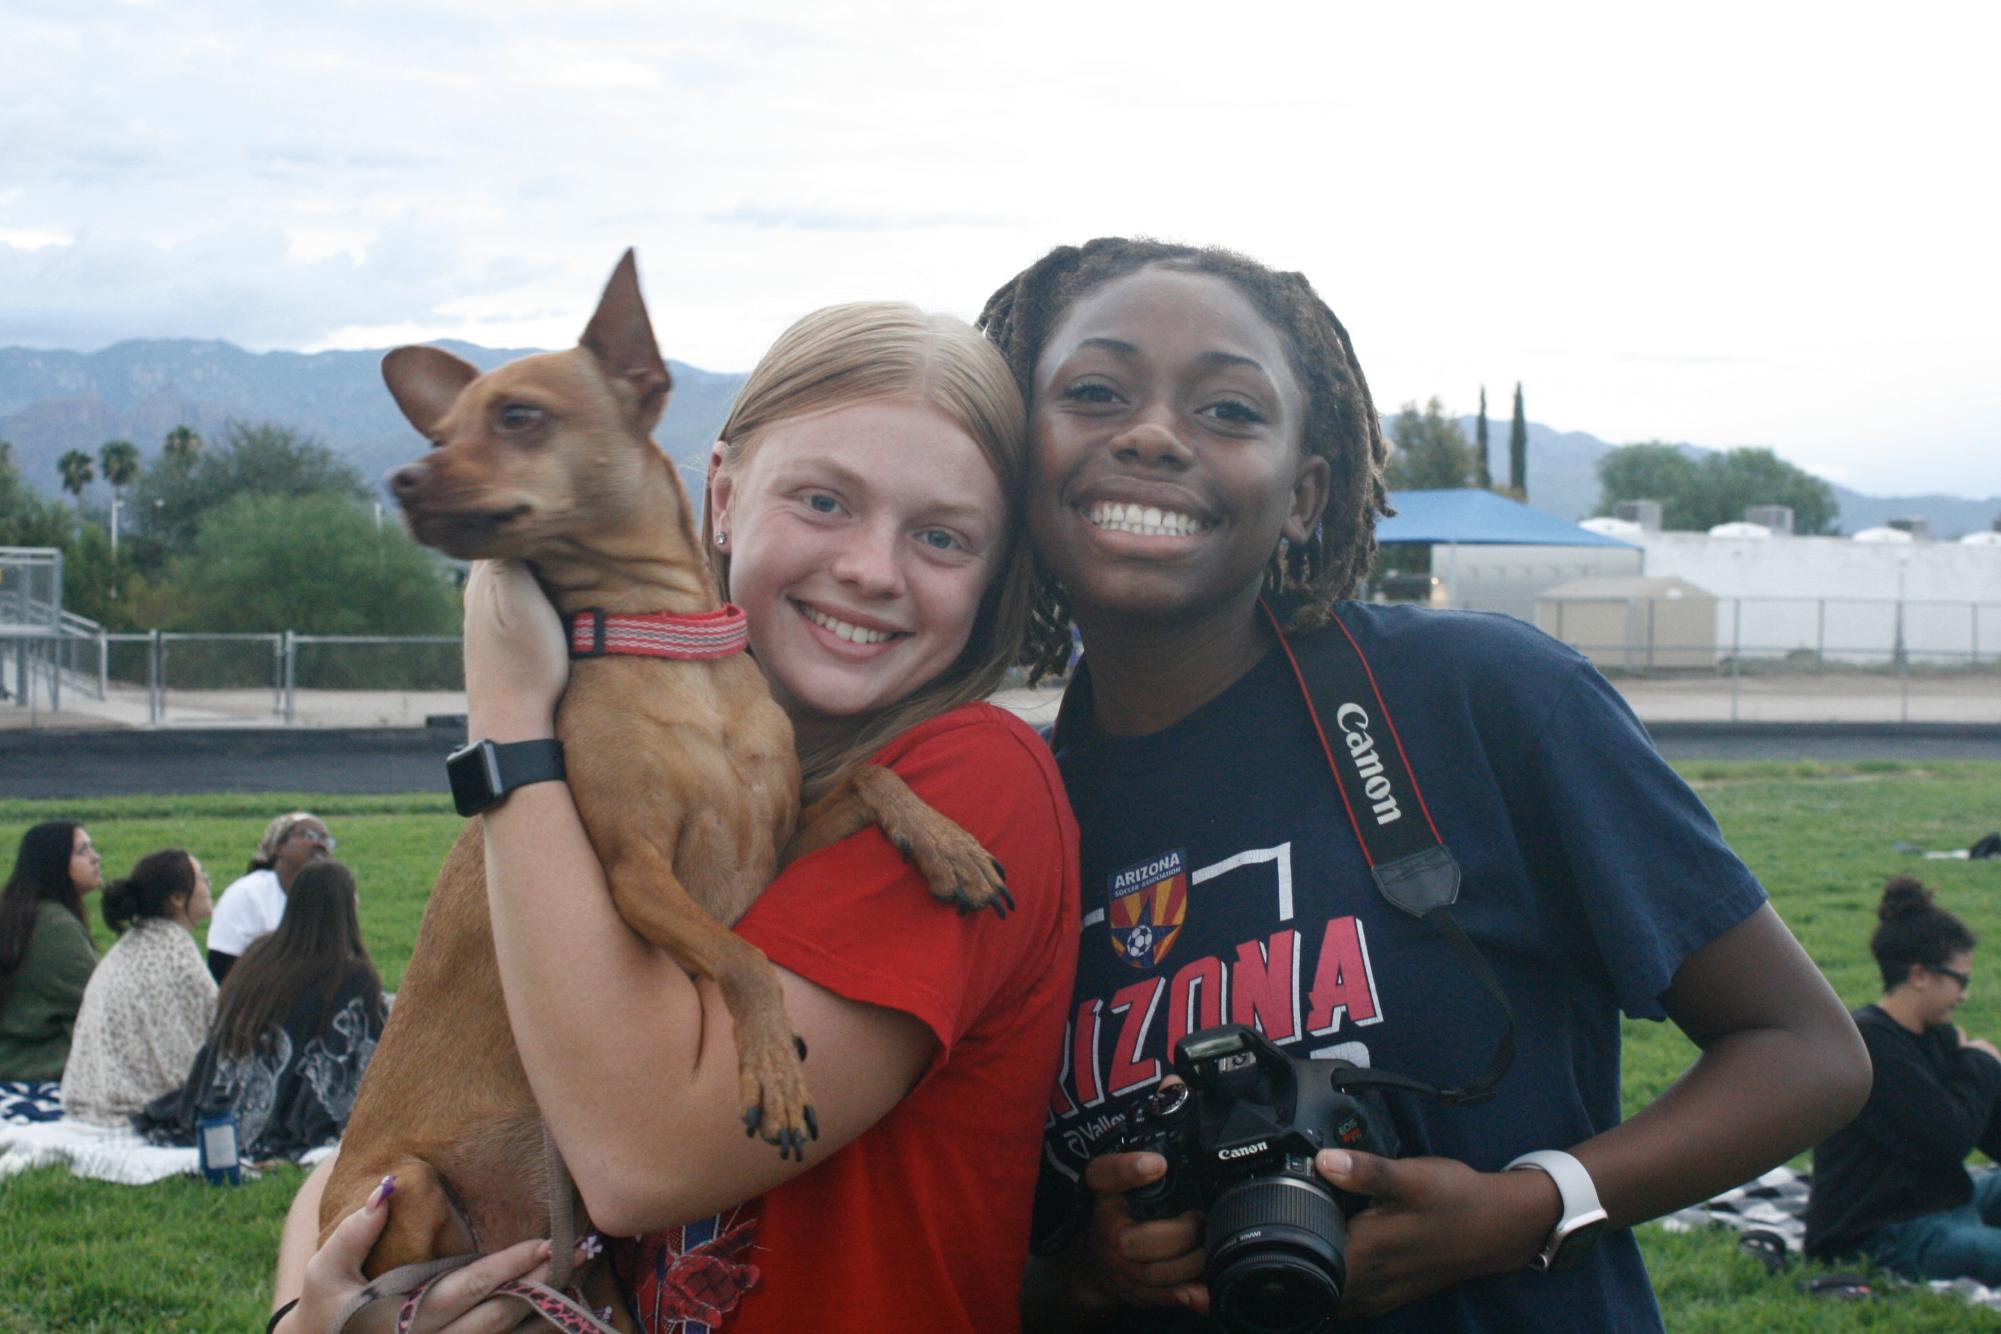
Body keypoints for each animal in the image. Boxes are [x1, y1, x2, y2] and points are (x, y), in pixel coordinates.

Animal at [330, 253, 1016, 1312]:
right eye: (438, 436)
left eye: (517, 417)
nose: (401, 478)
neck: (675, 653)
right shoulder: (635, 873)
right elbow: (739, 959)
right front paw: (772, 1070)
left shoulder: (780, 842)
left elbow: (870, 774)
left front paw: (946, 844)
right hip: (404, 1186)